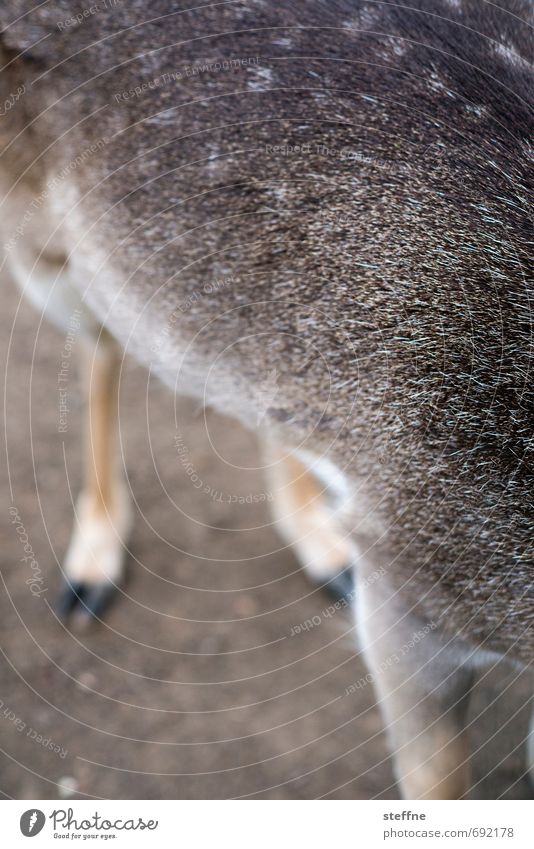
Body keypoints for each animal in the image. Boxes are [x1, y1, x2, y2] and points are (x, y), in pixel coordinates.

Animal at [1, 0, 534, 800]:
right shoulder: (415, 593)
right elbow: (435, 782)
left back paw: (319, 538)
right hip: (37, 243)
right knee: (101, 343)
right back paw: (92, 563)